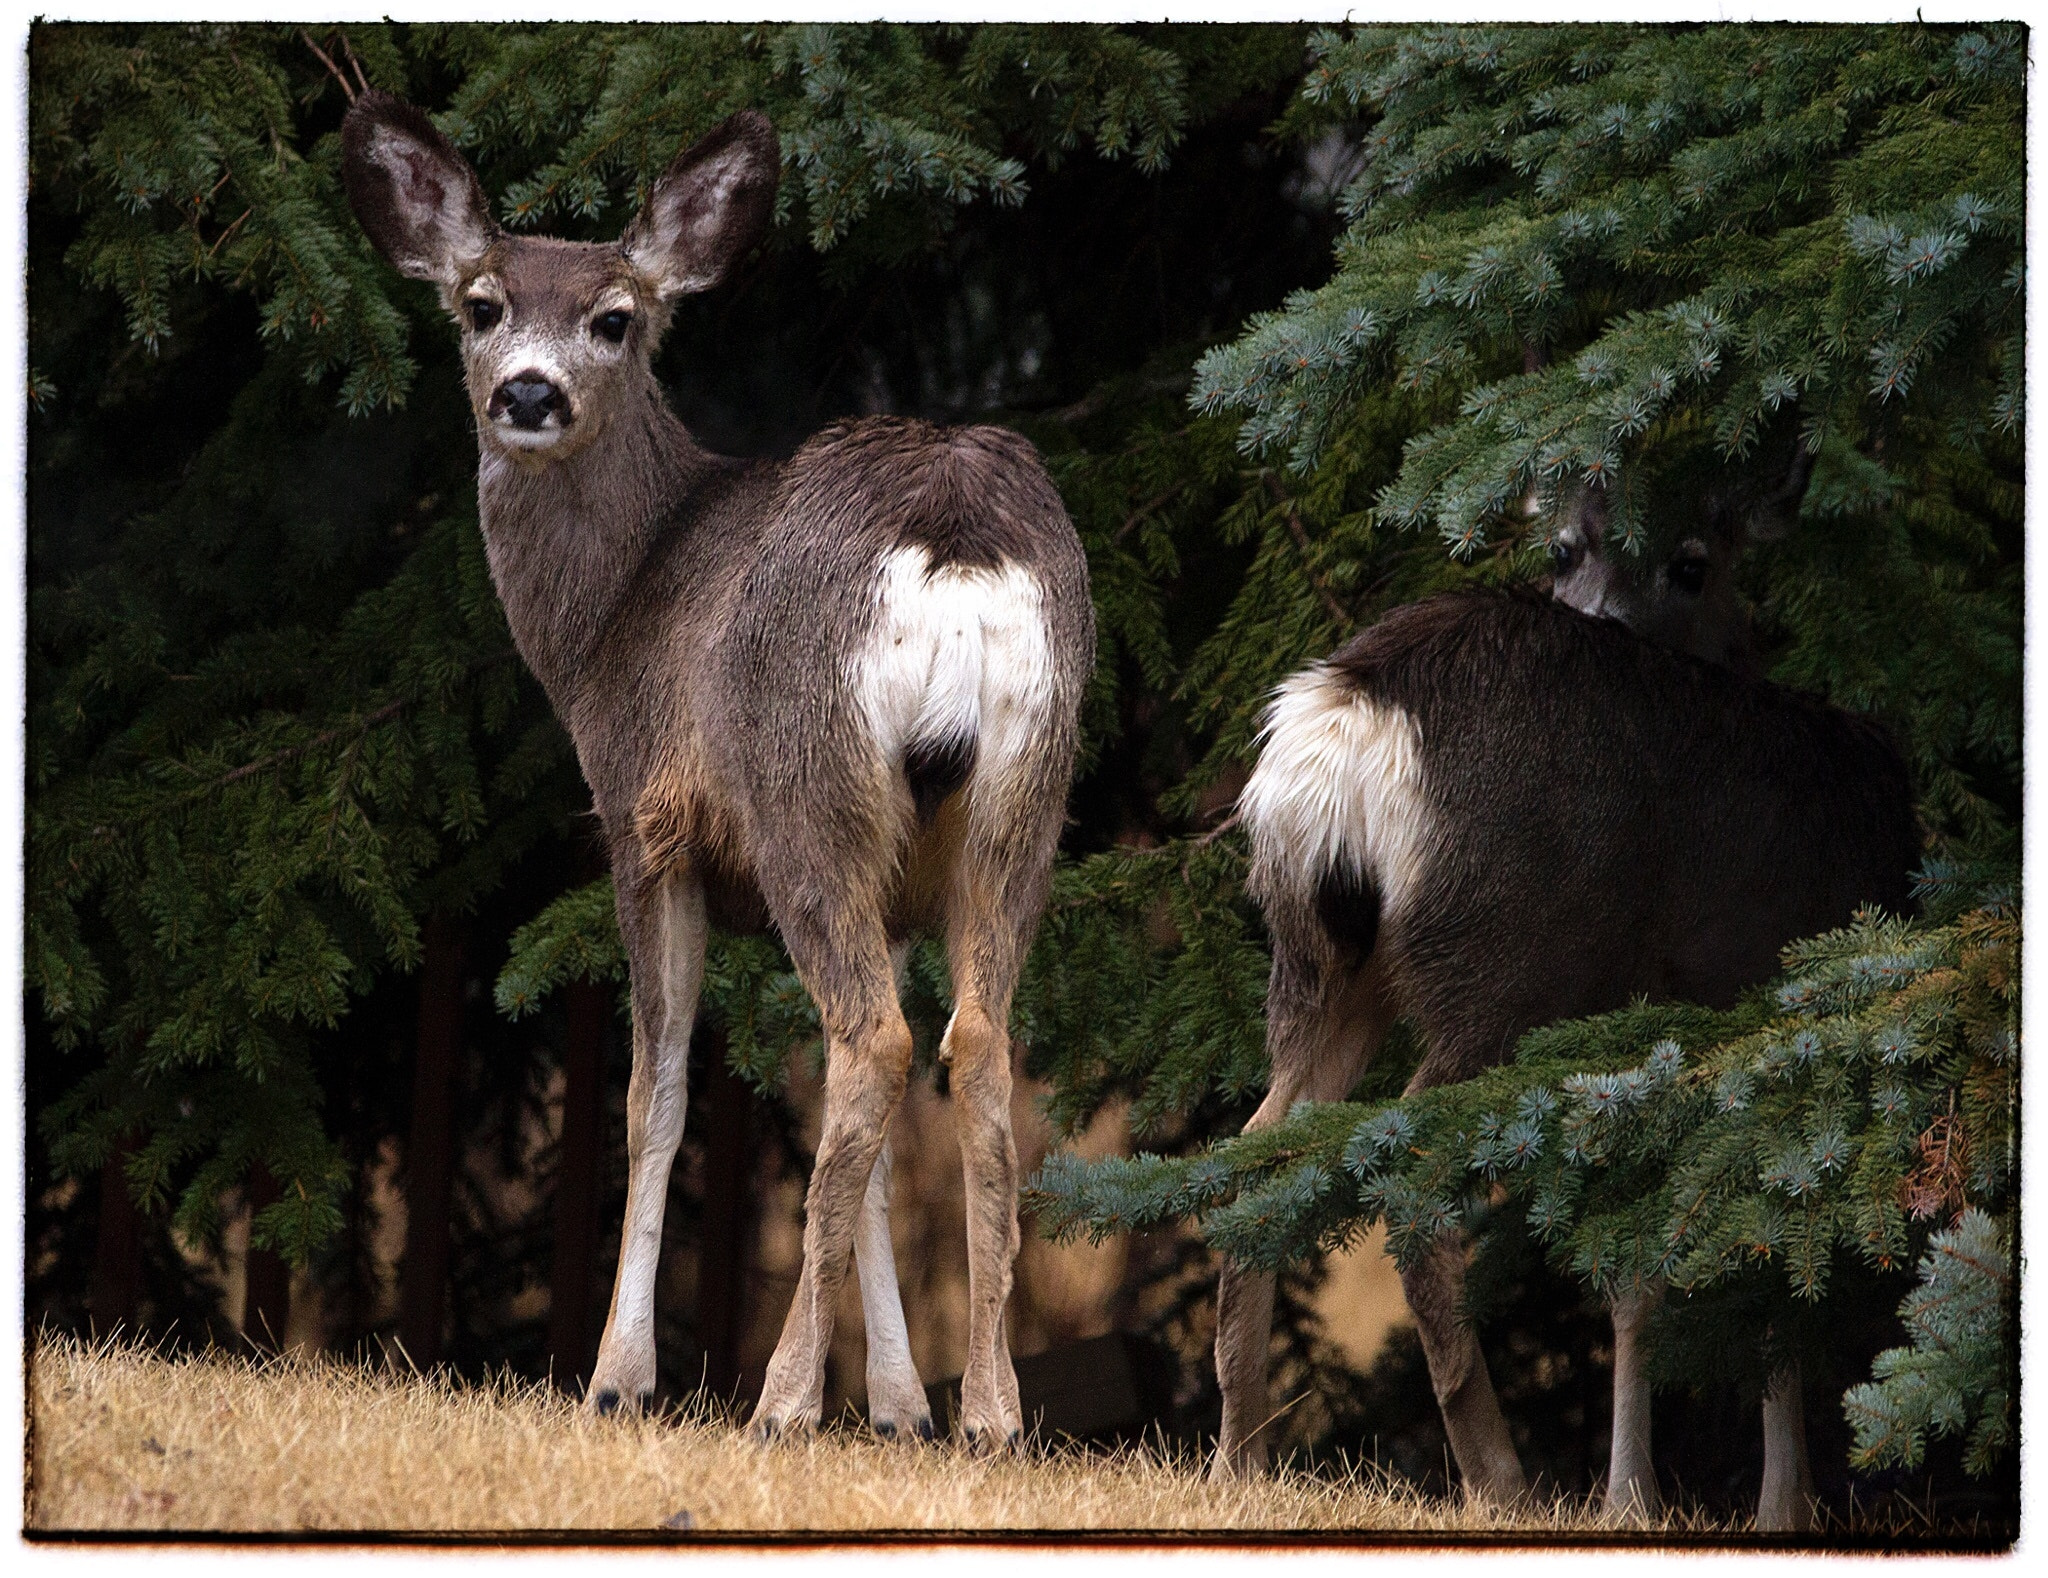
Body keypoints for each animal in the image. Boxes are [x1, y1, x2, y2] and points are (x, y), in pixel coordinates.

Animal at [341, 92, 1095, 1449]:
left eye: (614, 318)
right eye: (481, 305)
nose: (527, 393)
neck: (608, 615)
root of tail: (954, 538)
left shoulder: (648, 827)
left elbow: (657, 1096)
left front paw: (616, 1374)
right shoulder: (889, 884)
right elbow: (852, 1149)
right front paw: (896, 1405)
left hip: (805, 789)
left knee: (875, 1045)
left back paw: (782, 1400)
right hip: (1016, 805)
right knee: (972, 1046)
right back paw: (989, 1413)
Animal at [1216, 456, 1917, 1532]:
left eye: (1688, 563)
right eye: (1563, 549)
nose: (1602, 615)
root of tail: (1344, 728)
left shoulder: (1636, 1032)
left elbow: (1633, 1263)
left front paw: (1634, 1497)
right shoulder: (1753, 1006)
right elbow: (1757, 1250)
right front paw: (1778, 1506)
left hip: (1321, 958)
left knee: (1257, 1153)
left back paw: (1236, 1459)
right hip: (1503, 960)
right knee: (1410, 1179)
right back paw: (1499, 1480)